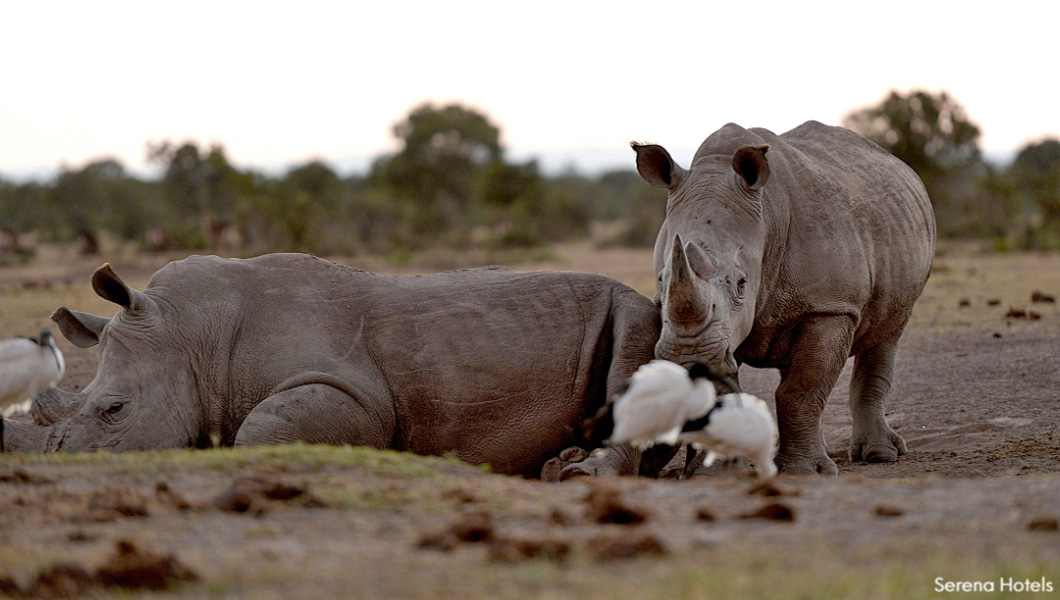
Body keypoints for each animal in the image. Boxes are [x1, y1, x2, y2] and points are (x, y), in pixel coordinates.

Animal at [0, 254, 657, 479]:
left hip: (634, 307)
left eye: (113, 410)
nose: (62, 467)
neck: (193, 338)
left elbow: (260, 430)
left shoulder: (353, 394)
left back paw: (576, 474)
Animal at [627, 122, 937, 477]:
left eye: (742, 283)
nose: (688, 358)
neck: (766, 223)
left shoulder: (830, 308)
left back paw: (879, 455)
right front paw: (709, 474)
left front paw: (804, 472)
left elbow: (801, 389)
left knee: (886, 334)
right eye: (661, 280)